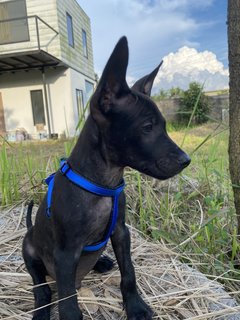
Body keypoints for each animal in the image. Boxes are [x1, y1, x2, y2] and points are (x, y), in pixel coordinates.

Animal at [23, 36, 191, 318]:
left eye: (164, 126)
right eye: (147, 127)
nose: (185, 160)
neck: (103, 184)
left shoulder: (121, 232)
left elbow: (129, 273)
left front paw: (135, 305)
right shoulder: (66, 253)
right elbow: (67, 300)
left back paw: (100, 261)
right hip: (28, 247)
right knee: (41, 287)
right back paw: (41, 307)